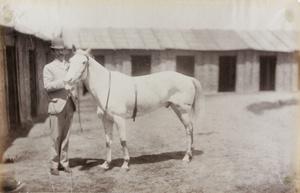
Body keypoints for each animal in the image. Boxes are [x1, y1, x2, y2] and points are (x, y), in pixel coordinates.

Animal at [64, 46, 205, 170]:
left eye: (83, 62)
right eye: (70, 61)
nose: (67, 80)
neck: (105, 86)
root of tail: (188, 78)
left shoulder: (119, 119)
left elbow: (123, 140)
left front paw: (125, 164)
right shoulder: (106, 120)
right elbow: (108, 142)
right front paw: (106, 164)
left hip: (183, 111)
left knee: (188, 130)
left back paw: (186, 157)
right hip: (177, 110)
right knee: (190, 128)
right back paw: (190, 154)